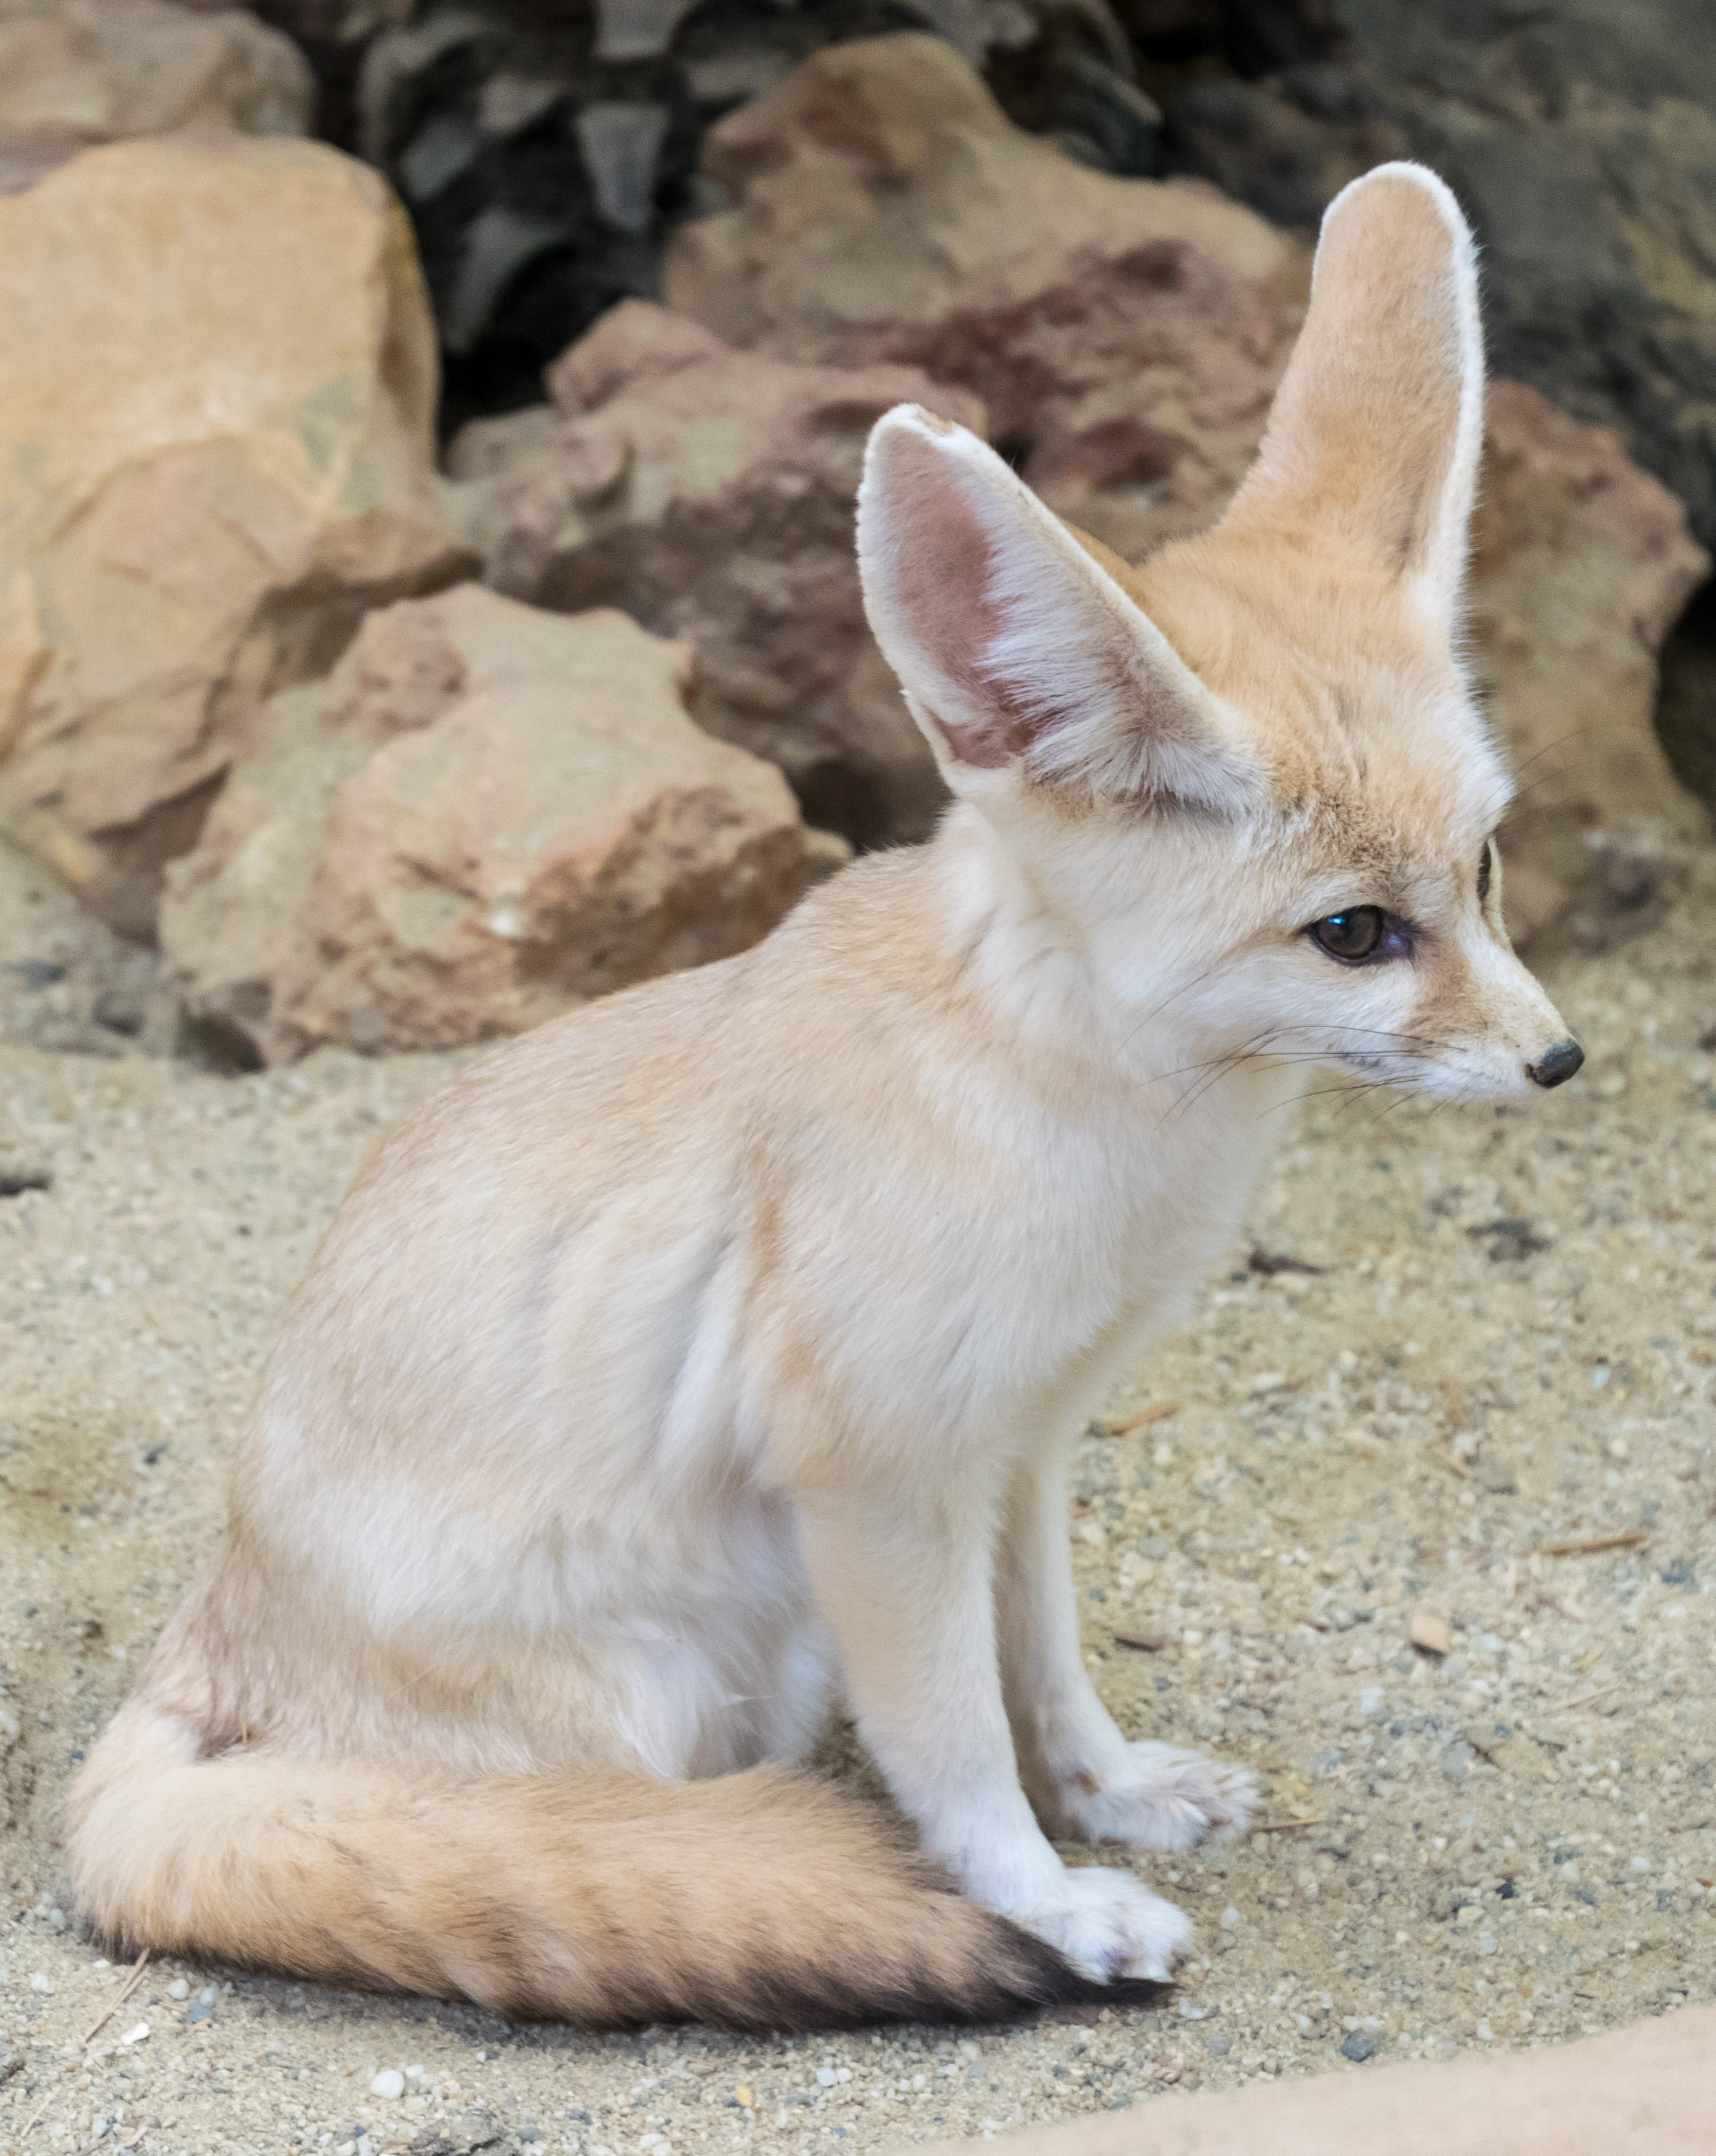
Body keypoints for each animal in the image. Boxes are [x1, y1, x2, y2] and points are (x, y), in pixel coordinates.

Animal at [67, 162, 1583, 2030]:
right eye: (1357, 932)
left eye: (1489, 868)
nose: (1557, 1059)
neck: (1069, 1101)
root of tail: (207, 1638)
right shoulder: (879, 1482)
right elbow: (955, 1743)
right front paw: (1044, 1899)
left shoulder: (1023, 1446)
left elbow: (1046, 1668)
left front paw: (1110, 1795)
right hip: (678, 1678)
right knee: (607, 1838)